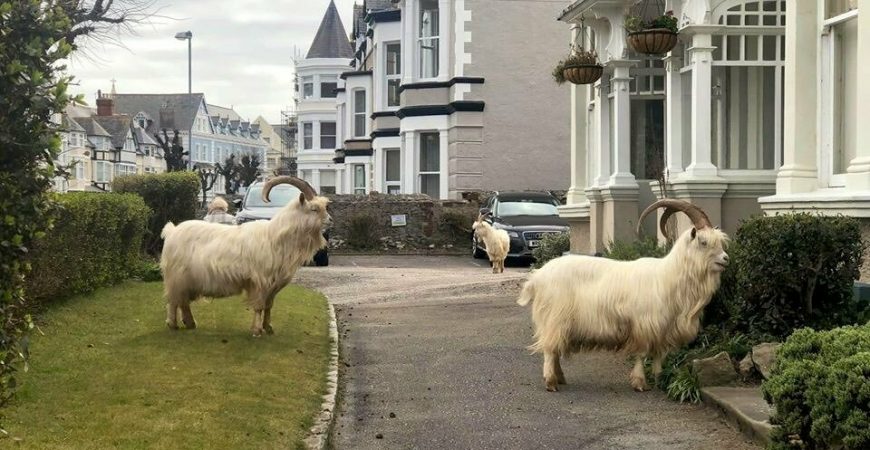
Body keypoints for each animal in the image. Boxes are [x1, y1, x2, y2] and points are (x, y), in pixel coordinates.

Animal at [158, 178, 332, 336]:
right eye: (314, 209)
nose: (330, 221)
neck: (275, 237)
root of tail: (172, 231)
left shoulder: (273, 285)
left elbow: (269, 306)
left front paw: (268, 328)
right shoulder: (260, 281)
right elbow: (259, 306)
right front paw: (257, 330)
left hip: (188, 280)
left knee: (183, 301)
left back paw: (190, 323)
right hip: (177, 277)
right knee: (173, 301)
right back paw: (173, 324)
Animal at [516, 201, 728, 394]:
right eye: (703, 242)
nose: (726, 259)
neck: (669, 276)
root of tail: (538, 276)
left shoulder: (663, 327)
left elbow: (659, 354)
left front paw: (659, 379)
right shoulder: (643, 324)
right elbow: (642, 353)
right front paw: (640, 382)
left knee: (555, 348)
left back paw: (560, 378)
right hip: (555, 318)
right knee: (549, 349)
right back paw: (551, 382)